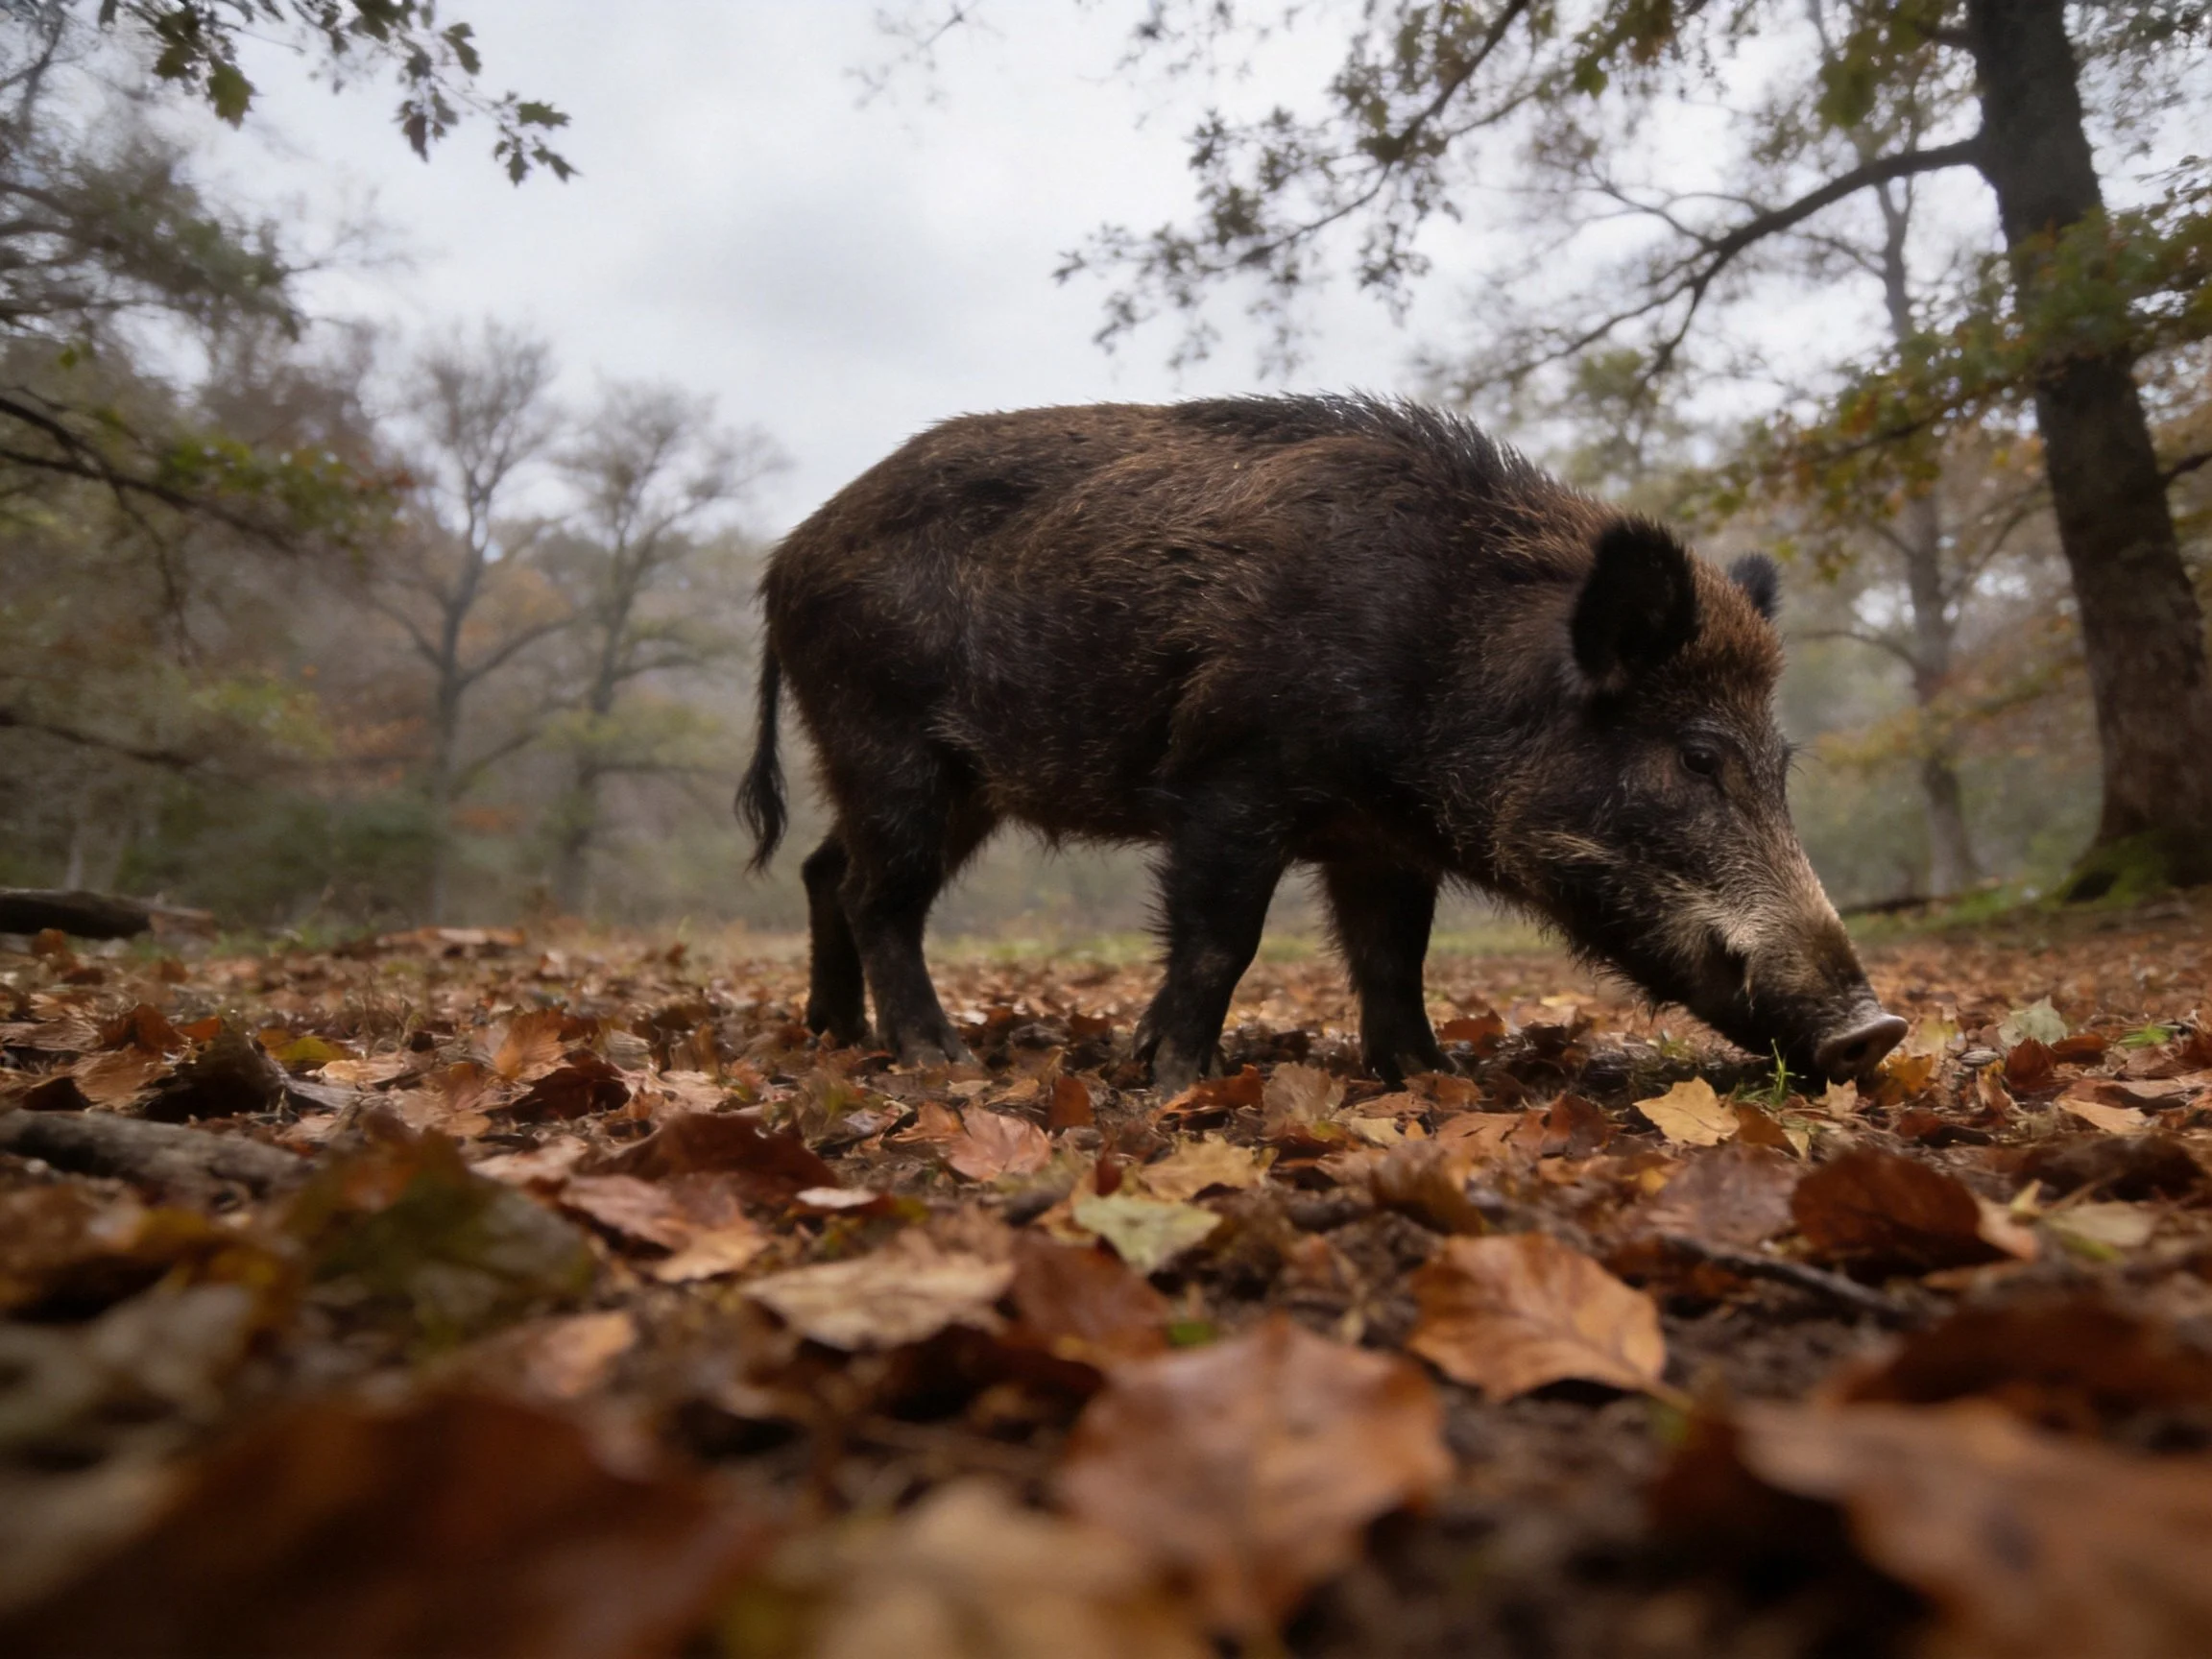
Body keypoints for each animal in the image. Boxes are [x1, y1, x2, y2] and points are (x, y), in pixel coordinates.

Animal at [736, 395, 1906, 1093]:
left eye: (1780, 765)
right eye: (1698, 757)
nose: (1877, 1030)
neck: (1445, 657)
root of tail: (784, 560)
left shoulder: (1378, 839)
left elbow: (1394, 956)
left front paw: (1427, 1079)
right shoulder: (1232, 779)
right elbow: (1223, 938)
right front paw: (1175, 1078)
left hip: (943, 780)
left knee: (825, 869)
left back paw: (836, 1034)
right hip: (889, 743)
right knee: (877, 895)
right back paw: (937, 1058)